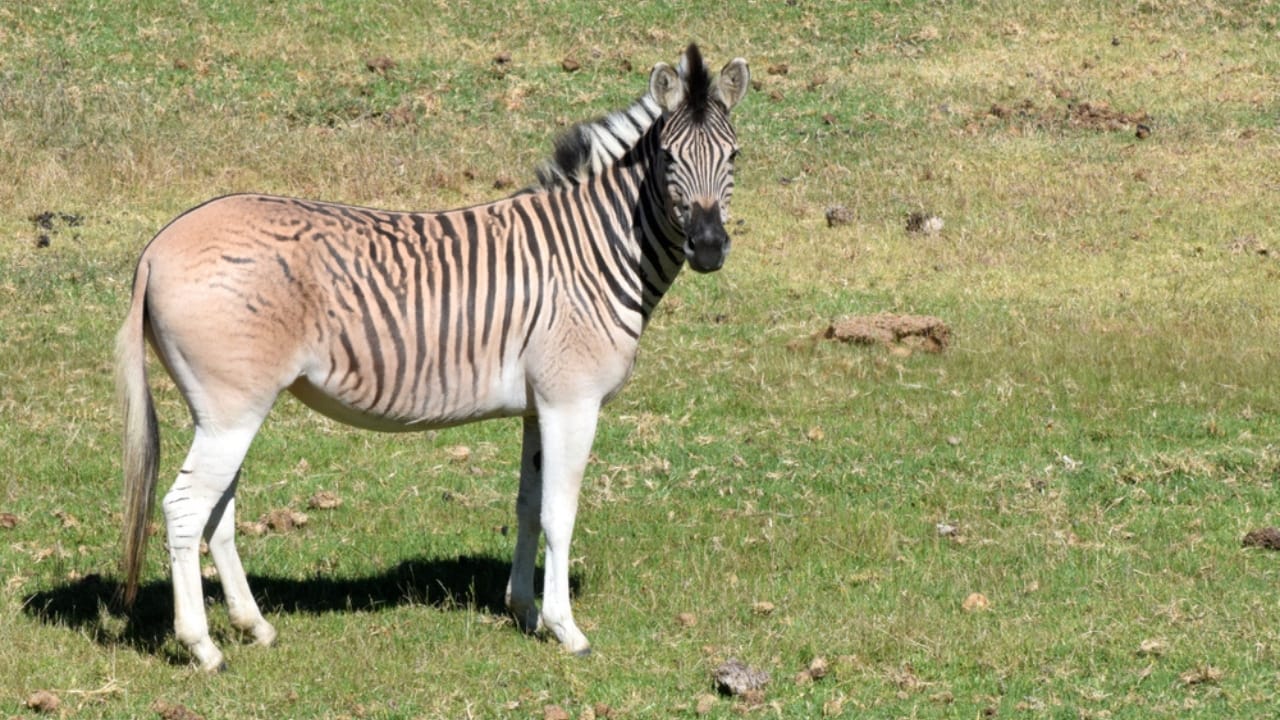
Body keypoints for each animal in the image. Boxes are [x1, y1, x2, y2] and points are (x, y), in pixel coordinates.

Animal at [117, 43, 747, 666]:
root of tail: (158, 245)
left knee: (217, 511)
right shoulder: (572, 402)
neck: (593, 253)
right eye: (667, 157)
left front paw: (523, 610)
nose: (709, 249)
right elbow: (559, 512)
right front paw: (565, 628)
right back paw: (202, 647)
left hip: (227, 411)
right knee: (184, 508)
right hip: (232, 408)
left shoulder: (537, 406)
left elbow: (527, 504)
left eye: (735, 155)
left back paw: (255, 627)